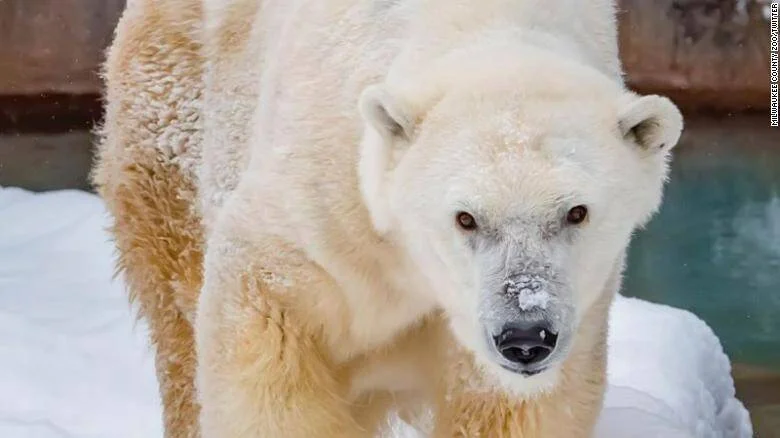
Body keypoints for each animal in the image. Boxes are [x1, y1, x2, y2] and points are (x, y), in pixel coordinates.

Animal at [92, 0, 684, 437]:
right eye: (465, 218)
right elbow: (268, 330)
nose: (524, 337)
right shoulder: (328, 203)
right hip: (172, 116)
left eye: (576, 212)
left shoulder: (575, 309)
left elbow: (510, 406)